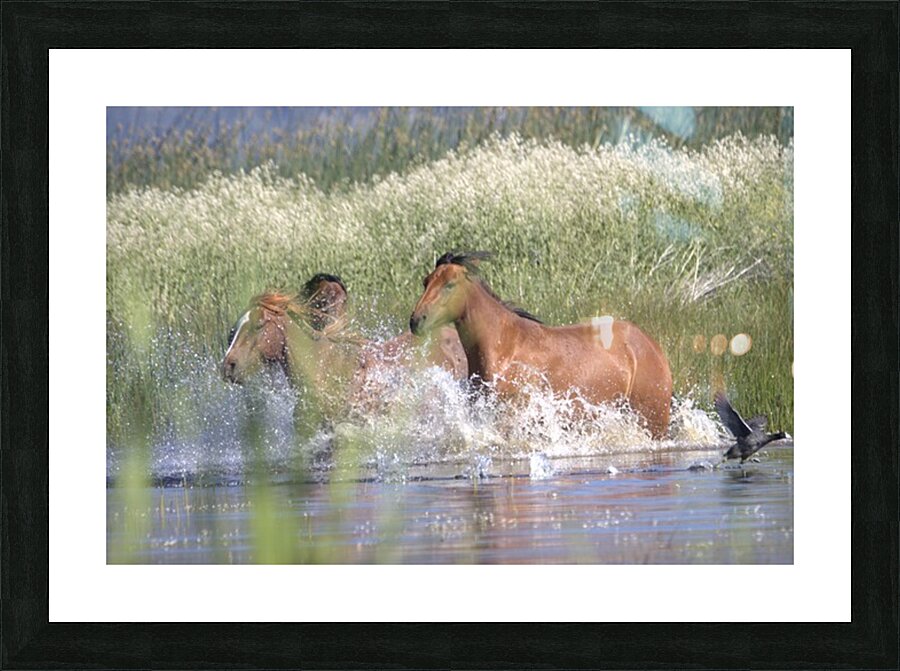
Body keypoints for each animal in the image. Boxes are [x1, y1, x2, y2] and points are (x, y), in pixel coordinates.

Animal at [409, 252, 673, 439]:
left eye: (449, 285)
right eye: (425, 282)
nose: (416, 321)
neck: (503, 348)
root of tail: (651, 345)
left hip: (653, 420)